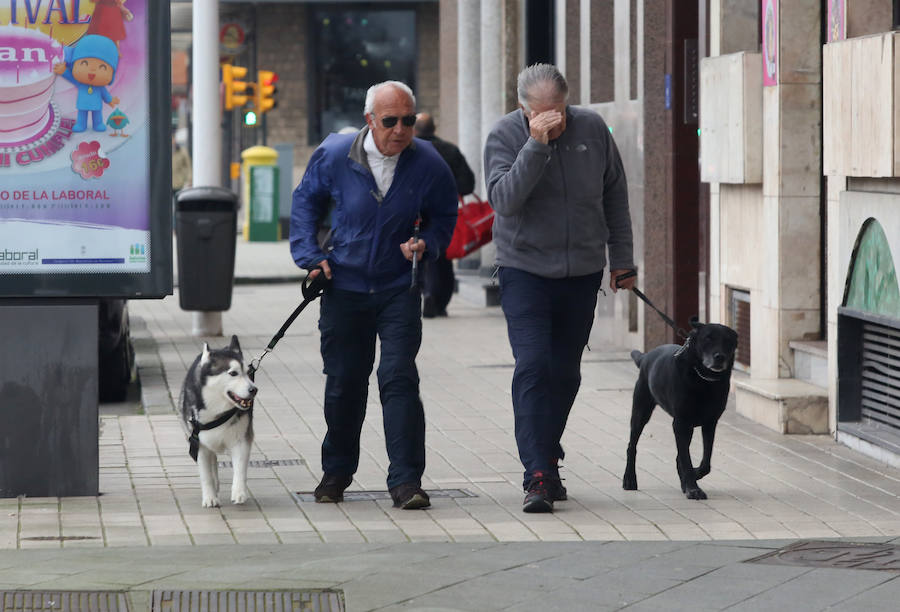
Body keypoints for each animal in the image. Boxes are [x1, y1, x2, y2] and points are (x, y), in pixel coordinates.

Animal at [178, 334, 256, 506]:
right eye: (233, 373)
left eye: (247, 372)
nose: (254, 389)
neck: (218, 411)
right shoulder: (198, 444)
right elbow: (206, 475)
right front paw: (210, 497)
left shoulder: (241, 440)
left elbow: (240, 469)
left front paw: (239, 492)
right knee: (212, 462)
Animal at [624, 318, 736, 500]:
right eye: (708, 338)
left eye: (728, 341)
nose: (719, 357)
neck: (703, 380)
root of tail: (645, 357)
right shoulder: (681, 423)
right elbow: (686, 459)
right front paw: (693, 488)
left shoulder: (710, 423)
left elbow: (705, 461)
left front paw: (694, 476)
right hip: (641, 412)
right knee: (631, 446)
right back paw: (629, 479)